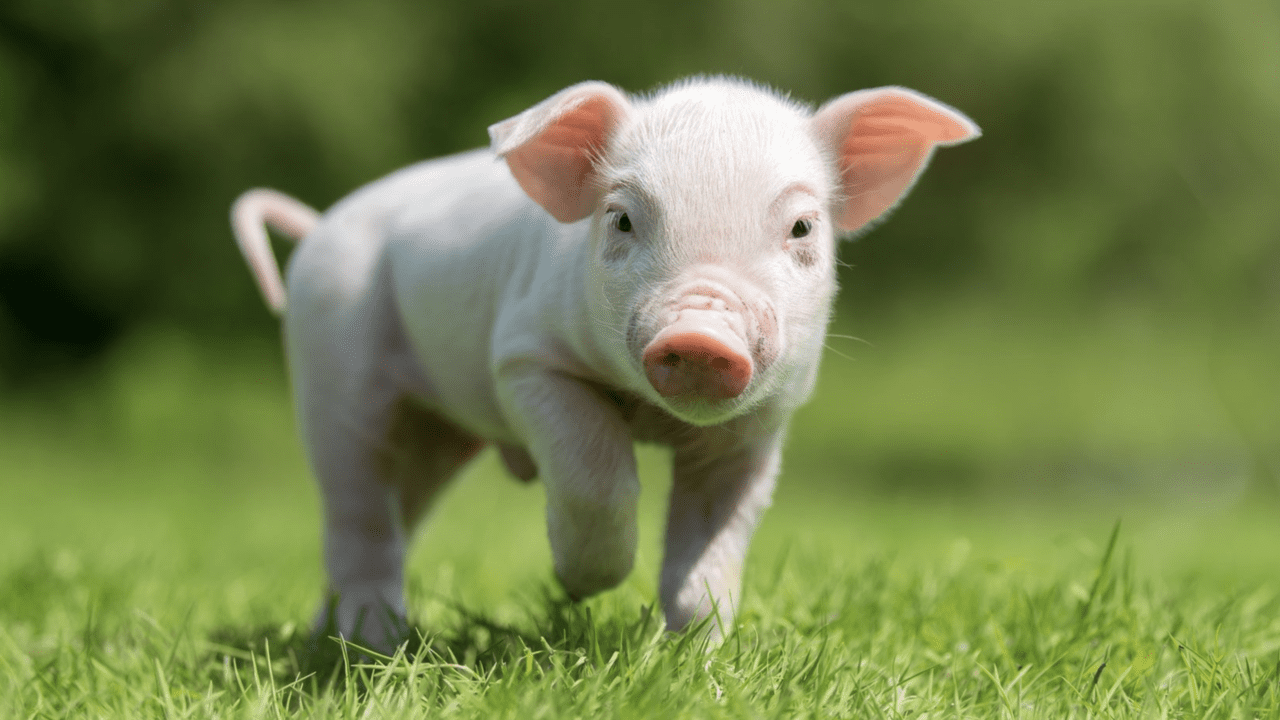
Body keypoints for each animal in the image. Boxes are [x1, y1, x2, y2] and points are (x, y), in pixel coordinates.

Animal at [230, 77, 979, 652]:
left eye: (802, 228)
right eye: (621, 220)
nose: (702, 333)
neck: (654, 418)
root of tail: (319, 225)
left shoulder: (761, 423)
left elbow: (712, 545)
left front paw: (699, 656)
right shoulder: (527, 359)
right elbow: (597, 473)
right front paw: (579, 587)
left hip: (436, 435)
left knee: (398, 513)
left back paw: (329, 635)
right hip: (333, 374)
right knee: (356, 513)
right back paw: (371, 645)